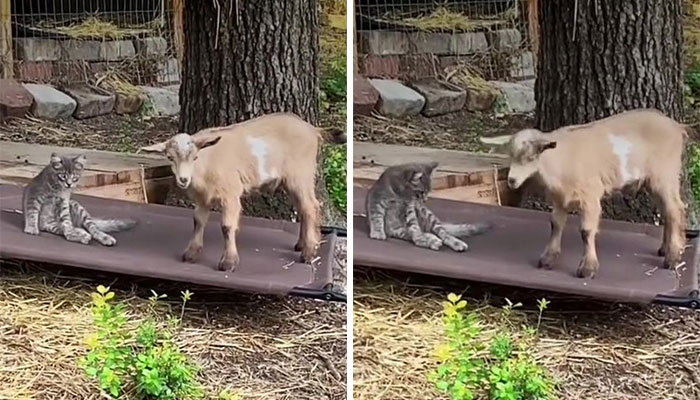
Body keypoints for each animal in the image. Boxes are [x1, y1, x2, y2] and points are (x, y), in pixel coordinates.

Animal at [138, 112, 323, 272]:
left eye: (195, 157)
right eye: (169, 157)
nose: (183, 179)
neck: (206, 164)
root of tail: (313, 130)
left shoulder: (231, 194)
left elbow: (227, 226)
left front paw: (228, 262)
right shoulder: (202, 198)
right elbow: (198, 221)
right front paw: (191, 253)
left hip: (301, 174)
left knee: (310, 207)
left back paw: (308, 253)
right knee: (303, 207)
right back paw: (301, 245)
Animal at [486, 109, 688, 279]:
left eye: (531, 158)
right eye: (511, 156)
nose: (512, 180)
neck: (560, 159)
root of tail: (677, 127)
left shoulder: (590, 197)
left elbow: (586, 231)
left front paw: (587, 269)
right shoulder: (560, 199)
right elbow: (555, 224)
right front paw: (548, 259)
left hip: (665, 174)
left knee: (675, 209)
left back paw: (672, 257)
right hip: (654, 181)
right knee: (667, 210)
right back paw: (665, 249)